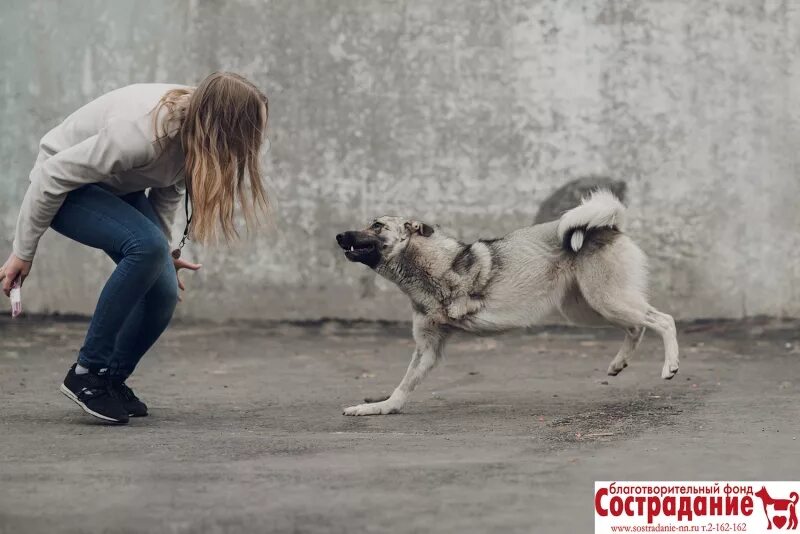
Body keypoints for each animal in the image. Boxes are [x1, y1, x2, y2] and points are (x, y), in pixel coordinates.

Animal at [334, 191, 680, 416]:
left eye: (376, 226)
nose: (338, 236)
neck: (427, 266)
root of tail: (609, 225)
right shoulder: (427, 349)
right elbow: (403, 385)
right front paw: (380, 407)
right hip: (589, 309)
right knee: (637, 327)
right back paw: (618, 363)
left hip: (607, 300)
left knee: (663, 320)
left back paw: (670, 366)